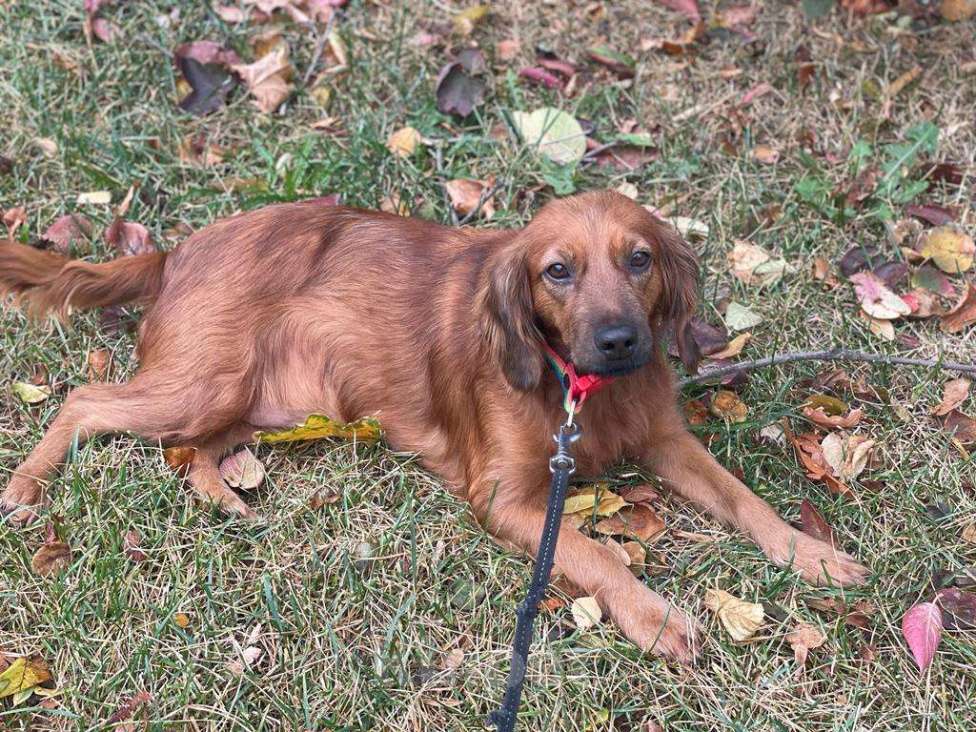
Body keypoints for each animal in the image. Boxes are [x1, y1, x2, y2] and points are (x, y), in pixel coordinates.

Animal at [0, 192, 868, 660]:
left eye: (640, 259)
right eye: (558, 271)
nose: (624, 342)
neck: (580, 388)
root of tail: (176, 253)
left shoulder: (667, 440)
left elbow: (744, 498)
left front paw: (813, 556)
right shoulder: (507, 500)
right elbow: (595, 553)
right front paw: (657, 620)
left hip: (253, 399)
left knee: (191, 453)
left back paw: (226, 501)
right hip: (206, 381)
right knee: (86, 401)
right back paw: (25, 486)